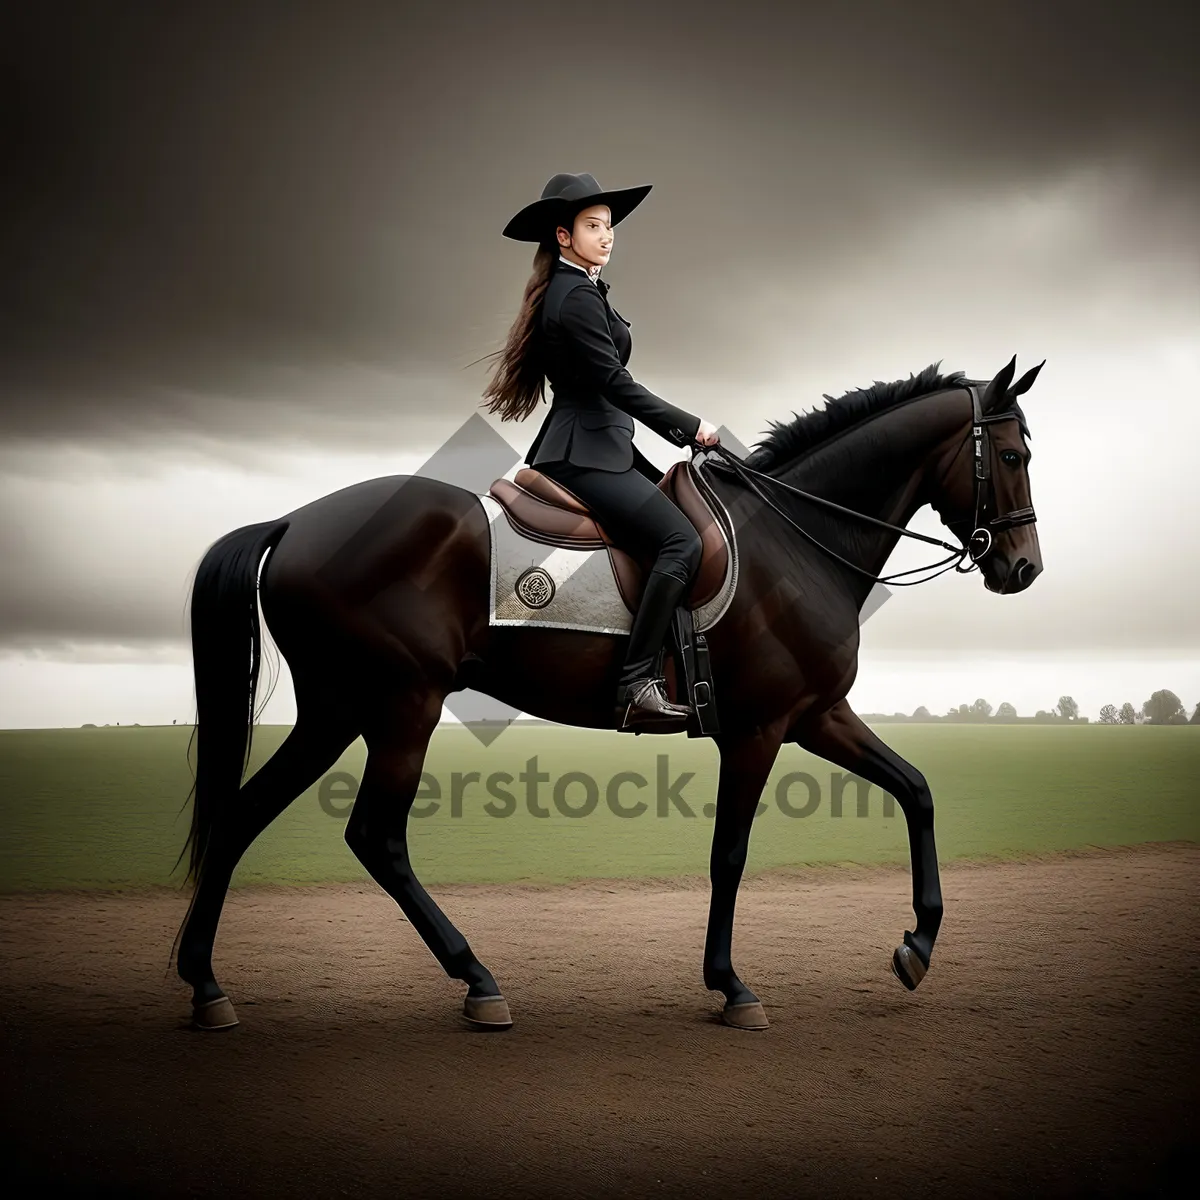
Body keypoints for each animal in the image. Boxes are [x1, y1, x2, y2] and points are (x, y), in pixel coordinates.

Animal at [169, 355, 1041, 1032]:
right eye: (1008, 456)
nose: (1023, 569)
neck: (796, 539)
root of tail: (294, 521)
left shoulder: (819, 716)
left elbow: (916, 790)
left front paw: (917, 947)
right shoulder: (759, 730)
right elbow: (731, 854)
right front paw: (732, 987)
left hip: (336, 709)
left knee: (245, 815)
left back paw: (206, 985)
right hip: (400, 706)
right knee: (375, 838)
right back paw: (476, 980)